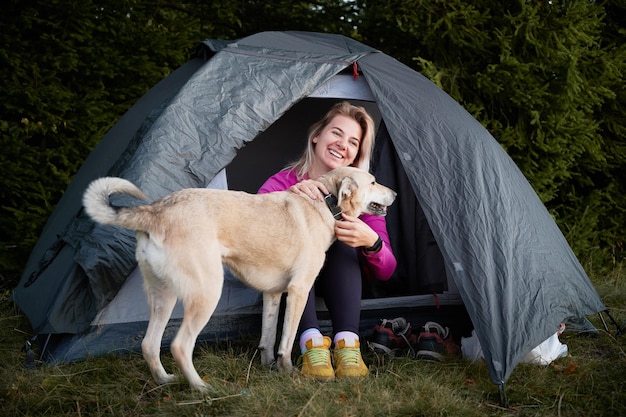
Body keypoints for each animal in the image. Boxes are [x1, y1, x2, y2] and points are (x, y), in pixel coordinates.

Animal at [83, 165, 394, 390]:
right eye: (373, 182)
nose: (394, 194)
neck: (326, 204)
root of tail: (155, 210)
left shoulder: (273, 294)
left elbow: (268, 338)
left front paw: (270, 369)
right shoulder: (299, 290)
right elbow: (286, 340)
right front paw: (289, 371)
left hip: (164, 297)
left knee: (149, 345)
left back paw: (166, 381)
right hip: (207, 294)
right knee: (179, 346)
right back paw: (201, 388)